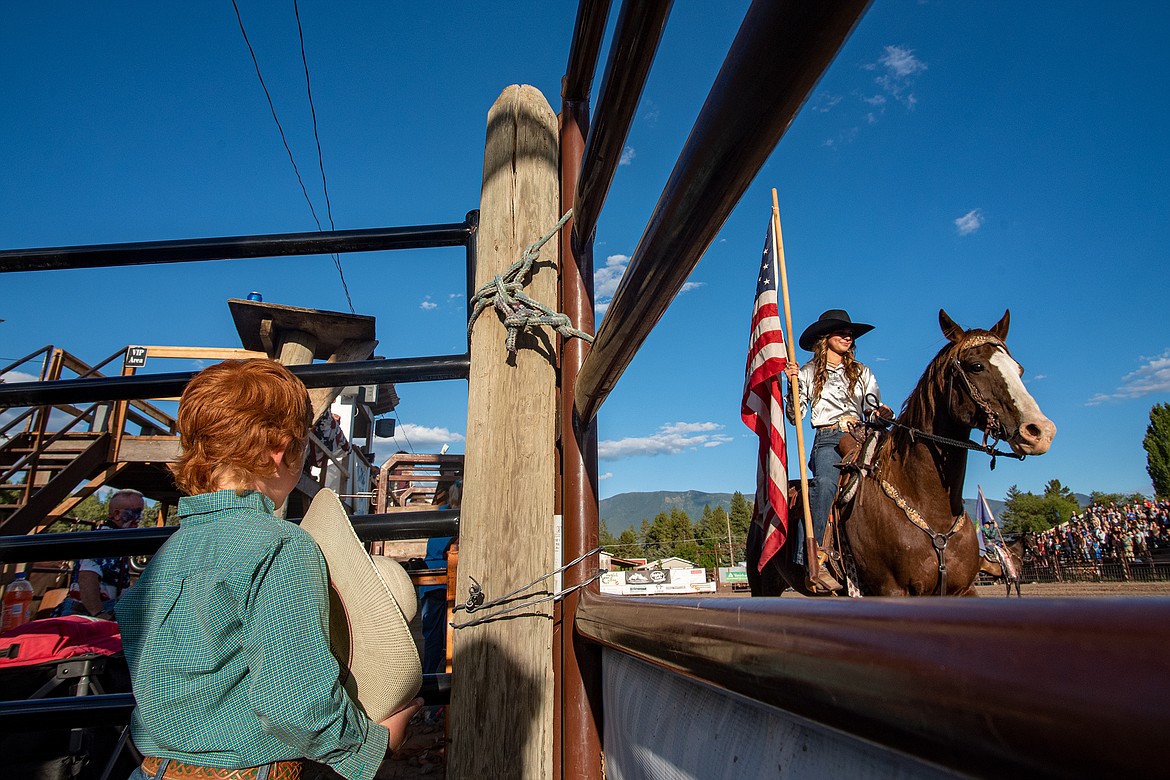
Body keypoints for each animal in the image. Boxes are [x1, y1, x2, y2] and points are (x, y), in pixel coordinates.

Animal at [748, 308, 1062, 598]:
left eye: (1019, 369)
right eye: (976, 366)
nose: (1040, 431)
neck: (929, 503)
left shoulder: (962, 589)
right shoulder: (892, 590)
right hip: (763, 586)